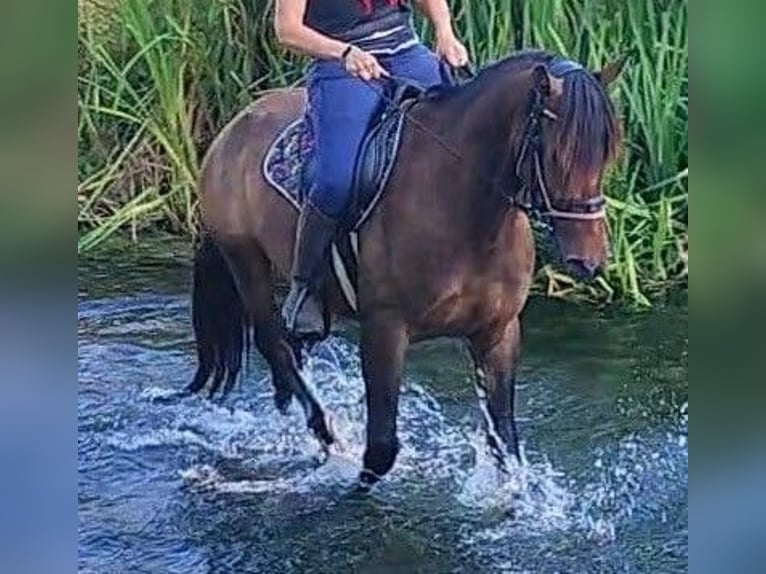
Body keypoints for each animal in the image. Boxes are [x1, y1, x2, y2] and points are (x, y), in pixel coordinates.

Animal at [185, 50, 625, 487]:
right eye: (557, 153)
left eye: (606, 153)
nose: (590, 260)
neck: (461, 205)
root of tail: (231, 129)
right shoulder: (385, 329)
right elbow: (381, 449)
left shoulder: (498, 332)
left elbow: (505, 444)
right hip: (245, 259)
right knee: (272, 341)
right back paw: (326, 434)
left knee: (292, 349)